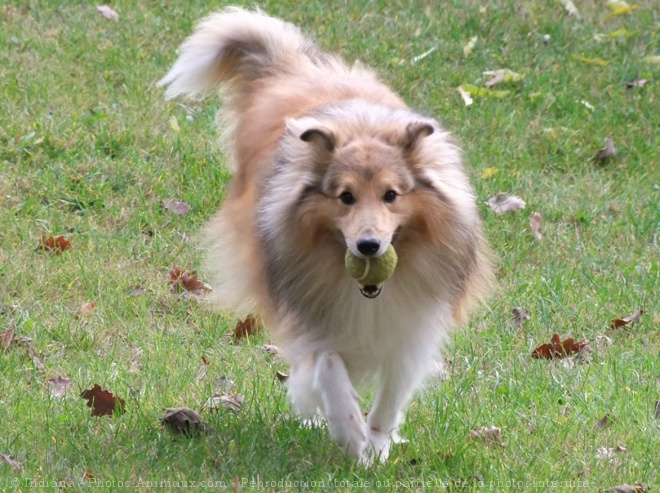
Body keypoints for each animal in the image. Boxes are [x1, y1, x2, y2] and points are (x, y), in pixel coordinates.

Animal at [159, 5, 490, 464]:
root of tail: (288, 69)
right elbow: (328, 367)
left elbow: (391, 393)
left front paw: (377, 445)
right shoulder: (312, 315)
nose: (368, 246)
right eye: (344, 196)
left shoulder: (412, 326)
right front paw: (349, 433)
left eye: (391, 195)